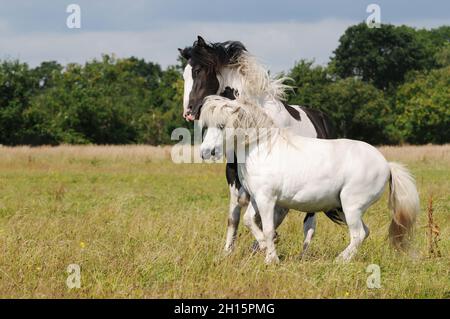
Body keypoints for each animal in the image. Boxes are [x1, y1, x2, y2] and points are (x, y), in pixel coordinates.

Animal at [179, 35, 338, 255]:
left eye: (198, 70)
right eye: (184, 74)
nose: (189, 112)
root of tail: (323, 119)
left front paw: (264, 243)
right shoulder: (234, 172)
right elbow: (235, 214)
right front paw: (228, 251)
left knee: (309, 220)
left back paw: (302, 252)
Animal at [199, 96, 420, 264]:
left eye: (222, 125)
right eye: (206, 126)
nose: (205, 152)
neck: (261, 149)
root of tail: (387, 165)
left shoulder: (267, 199)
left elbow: (268, 228)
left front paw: (271, 259)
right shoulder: (256, 198)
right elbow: (248, 221)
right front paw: (265, 246)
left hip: (351, 206)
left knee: (357, 234)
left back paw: (339, 260)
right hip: (345, 208)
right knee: (364, 232)